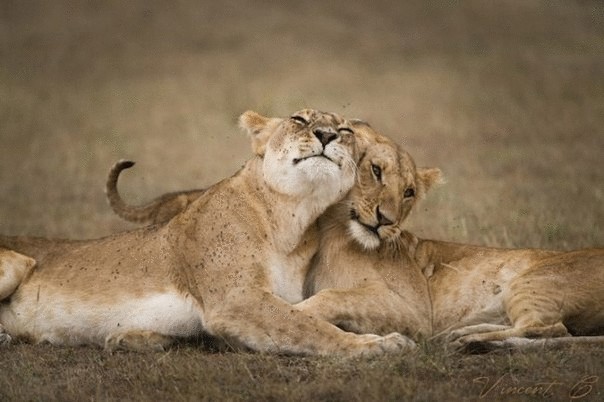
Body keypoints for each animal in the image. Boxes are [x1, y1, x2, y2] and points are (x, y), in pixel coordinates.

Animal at [0, 108, 412, 356]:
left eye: (343, 130)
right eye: (299, 118)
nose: (327, 134)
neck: (290, 221)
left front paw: (129, 337)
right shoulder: (235, 300)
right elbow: (308, 326)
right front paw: (379, 344)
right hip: (16, 262)